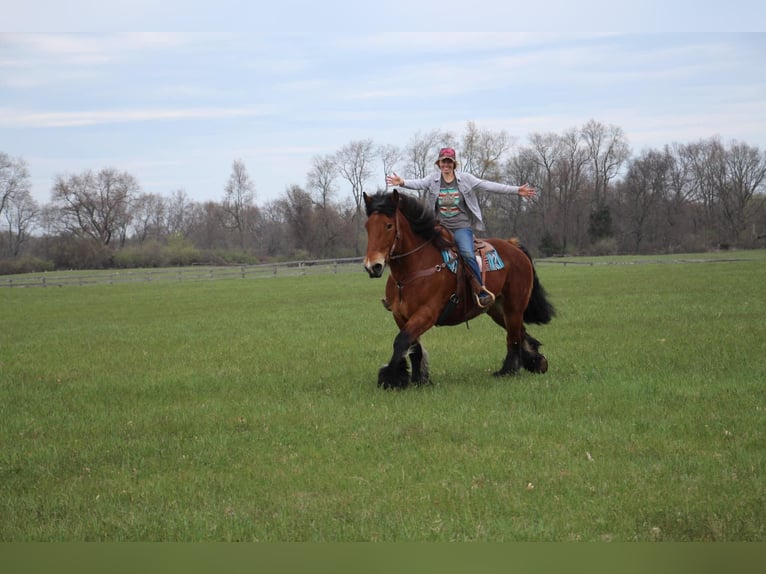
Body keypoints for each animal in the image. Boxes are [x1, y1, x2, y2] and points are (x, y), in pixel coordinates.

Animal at [364, 189, 556, 392]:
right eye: (367, 226)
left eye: (389, 225)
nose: (373, 266)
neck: (412, 271)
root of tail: (513, 246)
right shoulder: (400, 316)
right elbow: (413, 348)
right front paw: (418, 380)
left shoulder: (427, 313)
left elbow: (401, 341)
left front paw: (390, 378)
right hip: (496, 309)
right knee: (520, 331)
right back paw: (537, 362)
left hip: (514, 306)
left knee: (513, 337)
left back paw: (508, 371)